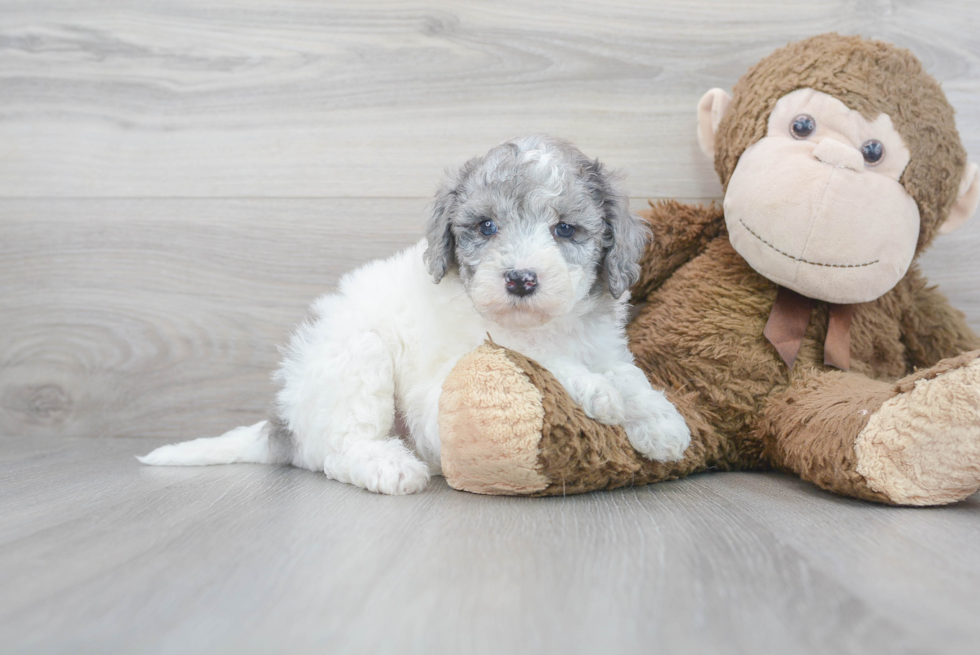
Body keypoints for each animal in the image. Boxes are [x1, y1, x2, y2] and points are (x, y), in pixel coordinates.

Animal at [140, 135, 688, 492]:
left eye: (566, 229)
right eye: (486, 227)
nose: (520, 279)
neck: (545, 326)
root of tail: (285, 424)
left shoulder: (606, 347)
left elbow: (630, 375)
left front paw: (661, 422)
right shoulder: (453, 374)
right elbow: (535, 360)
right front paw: (598, 392)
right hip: (358, 357)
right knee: (338, 450)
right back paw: (389, 466)